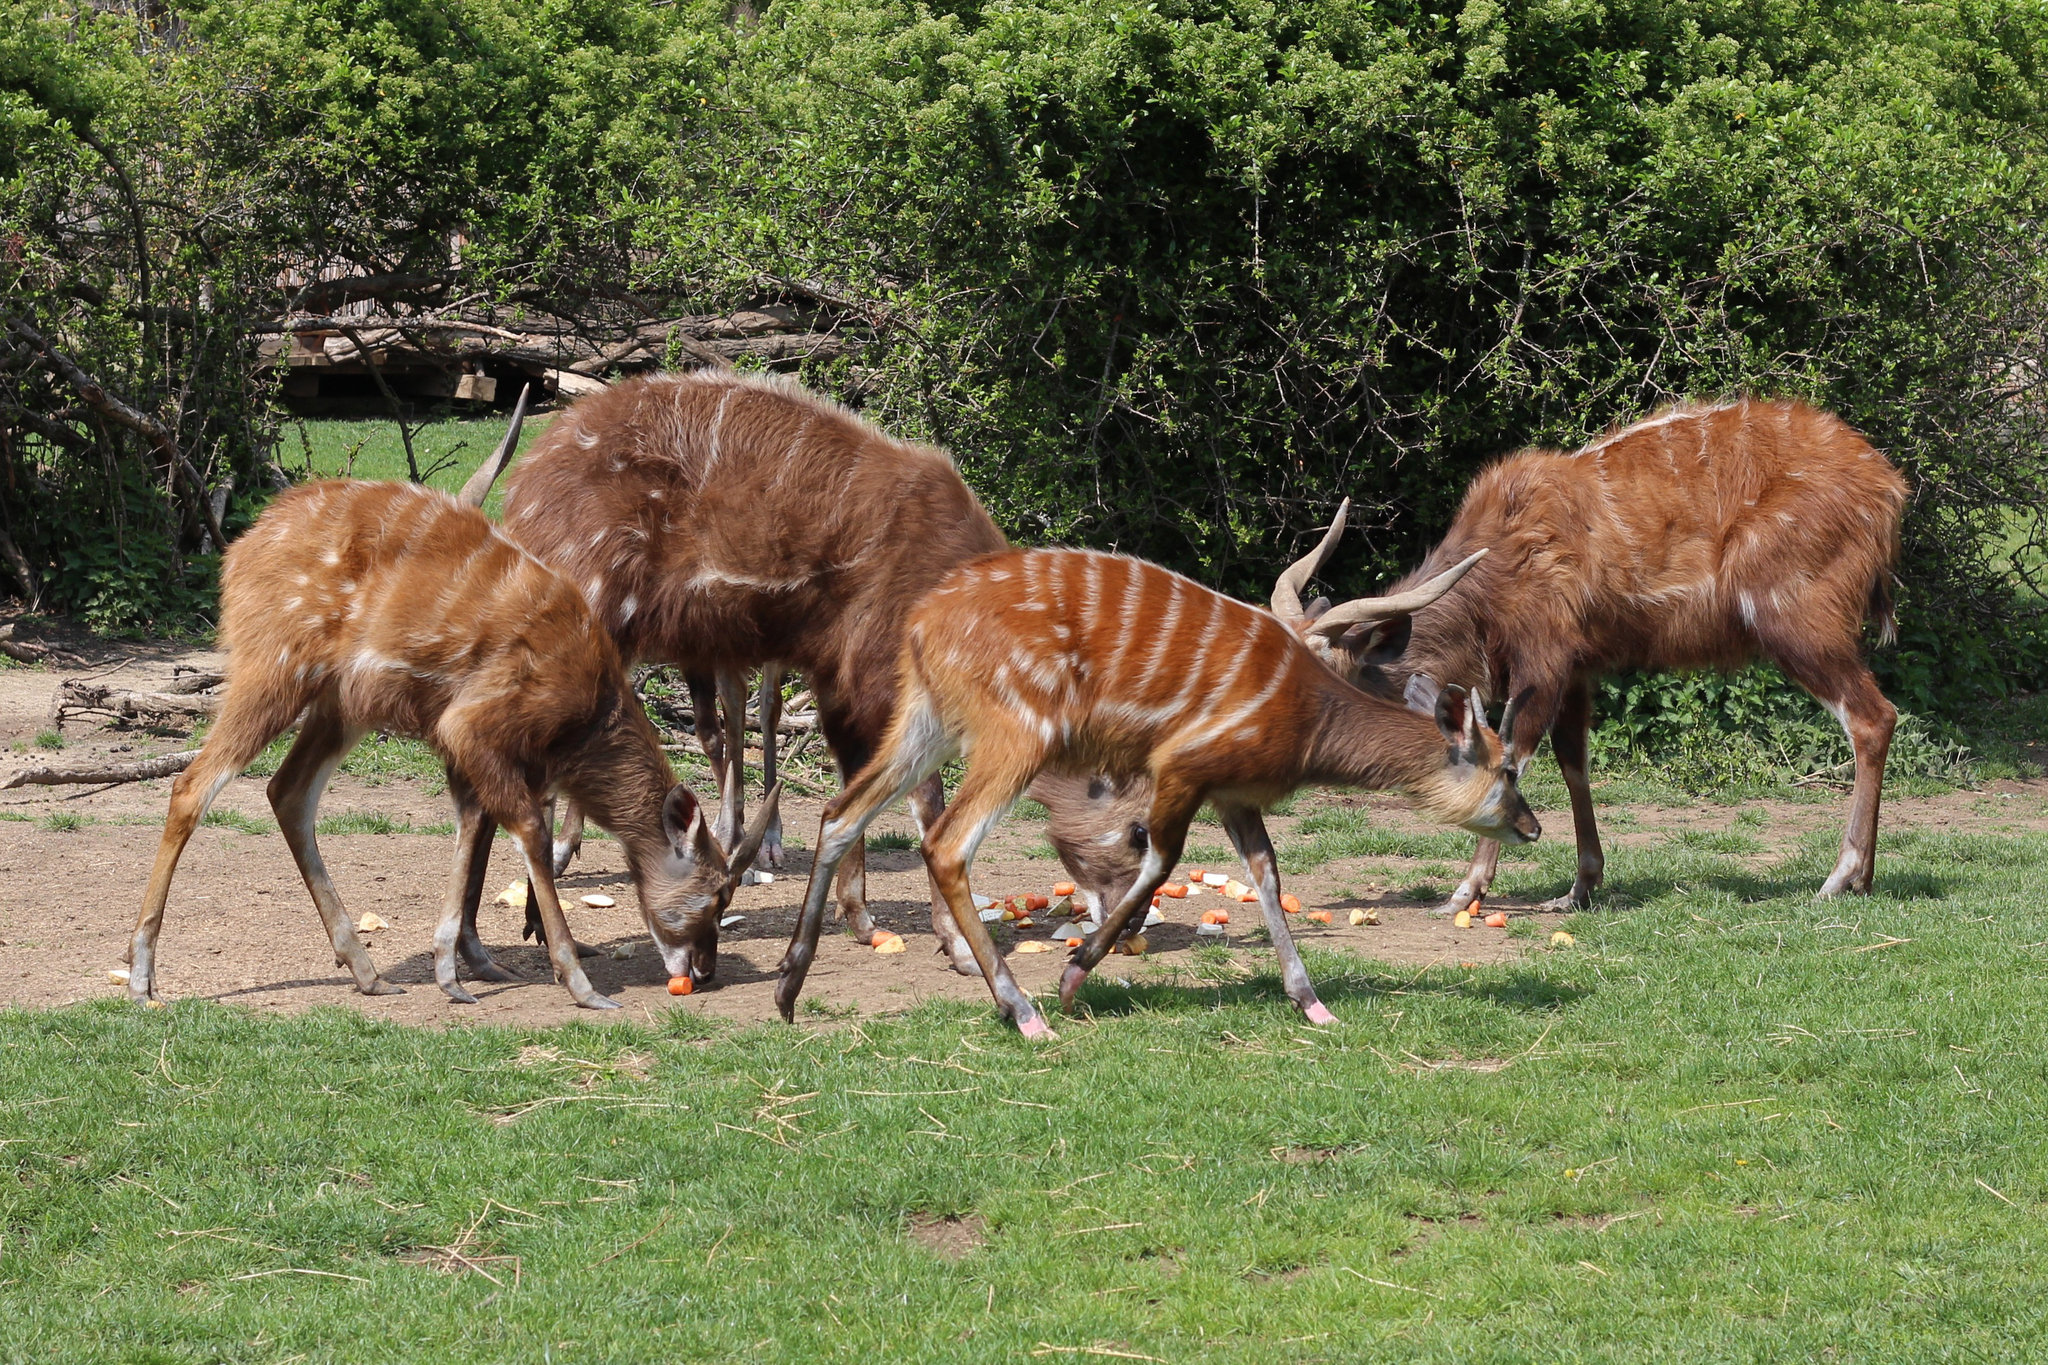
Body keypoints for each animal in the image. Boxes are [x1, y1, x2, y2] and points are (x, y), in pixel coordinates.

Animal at [128, 474, 778, 1010]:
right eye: (717, 893)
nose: (705, 970)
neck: (586, 710)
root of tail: (238, 552)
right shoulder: (471, 725)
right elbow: (529, 833)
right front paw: (580, 984)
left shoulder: (479, 750)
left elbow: (472, 823)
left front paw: (455, 973)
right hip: (275, 668)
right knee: (193, 785)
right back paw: (141, 977)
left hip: (342, 704)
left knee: (288, 792)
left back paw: (367, 972)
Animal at [770, 544, 1540, 1035]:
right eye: (1507, 770)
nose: (1532, 827)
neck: (1306, 716)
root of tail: (922, 625)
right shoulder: (1182, 768)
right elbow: (1159, 860)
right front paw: (1074, 976)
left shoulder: (1235, 793)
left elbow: (1266, 873)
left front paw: (1313, 1004)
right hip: (1016, 733)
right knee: (946, 841)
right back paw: (1026, 1015)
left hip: (926, 721)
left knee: (840, 812)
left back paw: (786, 988)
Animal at [1269, 397, 1908, 916]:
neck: (1497, 566)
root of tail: (1887, 490)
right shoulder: (1577, 670)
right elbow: (1573, 763)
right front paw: (1578, 889)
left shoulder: (1544, 660)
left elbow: (1512, 752)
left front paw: (1466, 890)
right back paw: (1866, 880)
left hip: (1796, 621)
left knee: (1873, 716)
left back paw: (1839, 877)